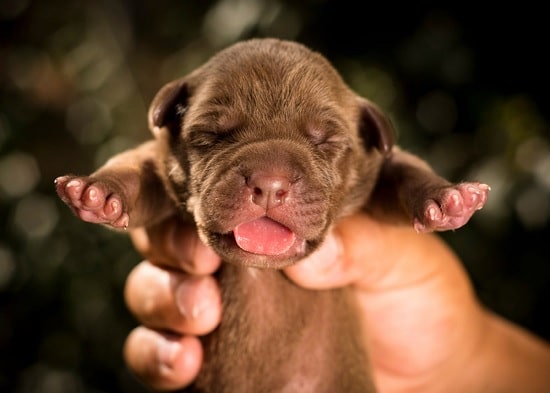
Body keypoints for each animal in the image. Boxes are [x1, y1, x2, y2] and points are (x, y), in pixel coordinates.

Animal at [54, 37, 490, 392]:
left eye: (327, 141)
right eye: (211, 135)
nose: (269, 182)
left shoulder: (379, 170)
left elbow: (406, 173)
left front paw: (447, 198)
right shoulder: (159, 168)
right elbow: (134, 168)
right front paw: (99, 192)